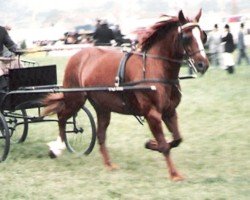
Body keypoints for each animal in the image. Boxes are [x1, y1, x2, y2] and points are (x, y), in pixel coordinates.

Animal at [43, 9, 209, 181]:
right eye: (186, 37)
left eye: (203, 36)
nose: (202, 65)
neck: (154, 67)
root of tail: (78, 54)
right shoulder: (152, 114)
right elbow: (164, 145)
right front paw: (174, 174)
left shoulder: (169, 112)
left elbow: (177, 139)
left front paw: (151, 144)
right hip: (75, 99)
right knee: (62, 117)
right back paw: (57, 148)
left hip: (102, 108)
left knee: (100, 135)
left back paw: (109, 164)